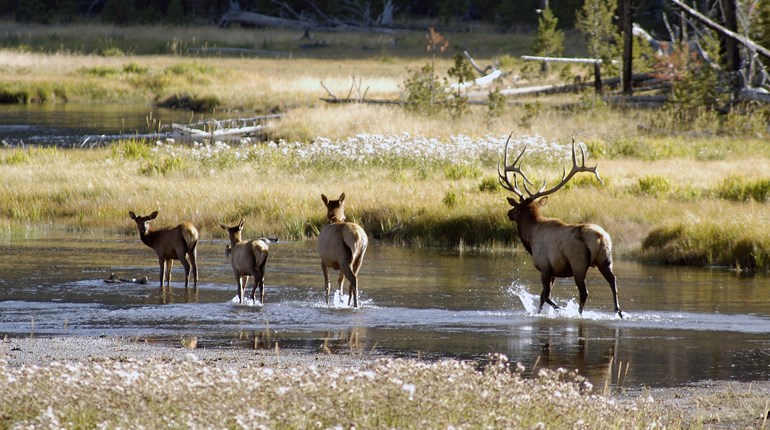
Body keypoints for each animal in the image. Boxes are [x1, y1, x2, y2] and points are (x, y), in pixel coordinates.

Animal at [498, 135, 623, 318]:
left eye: (517, 207)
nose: (508, 213)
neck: (530, 237)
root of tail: (600, 237)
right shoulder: (554, 271)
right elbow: (544, 296)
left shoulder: (544, 267)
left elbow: (545, 295)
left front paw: (557, 310)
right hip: (605, 259)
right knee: (613, 281)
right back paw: (618, 311)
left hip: (578, 263)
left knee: (584, 292)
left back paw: (579, 313)